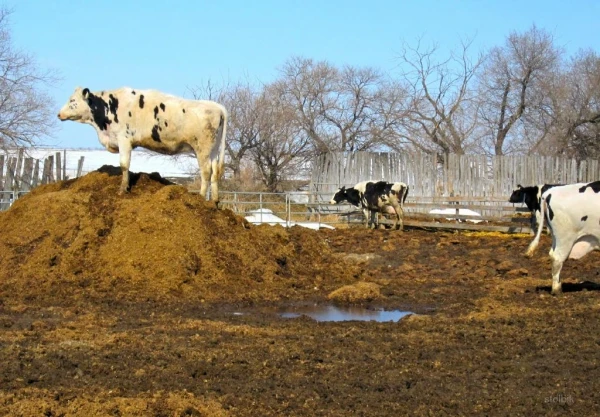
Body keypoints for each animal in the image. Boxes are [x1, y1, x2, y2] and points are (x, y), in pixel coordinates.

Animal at [58, 85, 227, 202]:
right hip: (212, 150)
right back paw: (215, 201)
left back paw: (201, 196)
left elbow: (124, 164)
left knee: (206, 172)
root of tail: (218, 107)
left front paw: (123, 189)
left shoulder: (124, 139)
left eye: (72, 100)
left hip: (202, 149)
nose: (59, 114)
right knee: (214, 172)